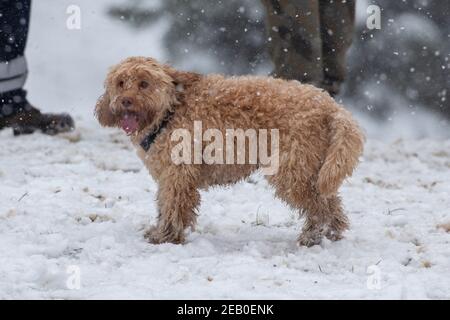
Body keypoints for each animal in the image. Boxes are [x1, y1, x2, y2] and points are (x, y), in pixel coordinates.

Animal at [96, 57, 366, 248]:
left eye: (144, 83)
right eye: (121, 83)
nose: (125, 101)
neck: (169, 112)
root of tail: (330, 105)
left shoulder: (177, 176)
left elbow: (173, 205)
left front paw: (165, 236)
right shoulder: (169, 175)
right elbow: (165, 204)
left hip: (292, 171)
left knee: (319, 207)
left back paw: (313, 235)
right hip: (314, 169)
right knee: (330, 201)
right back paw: (331, 232)